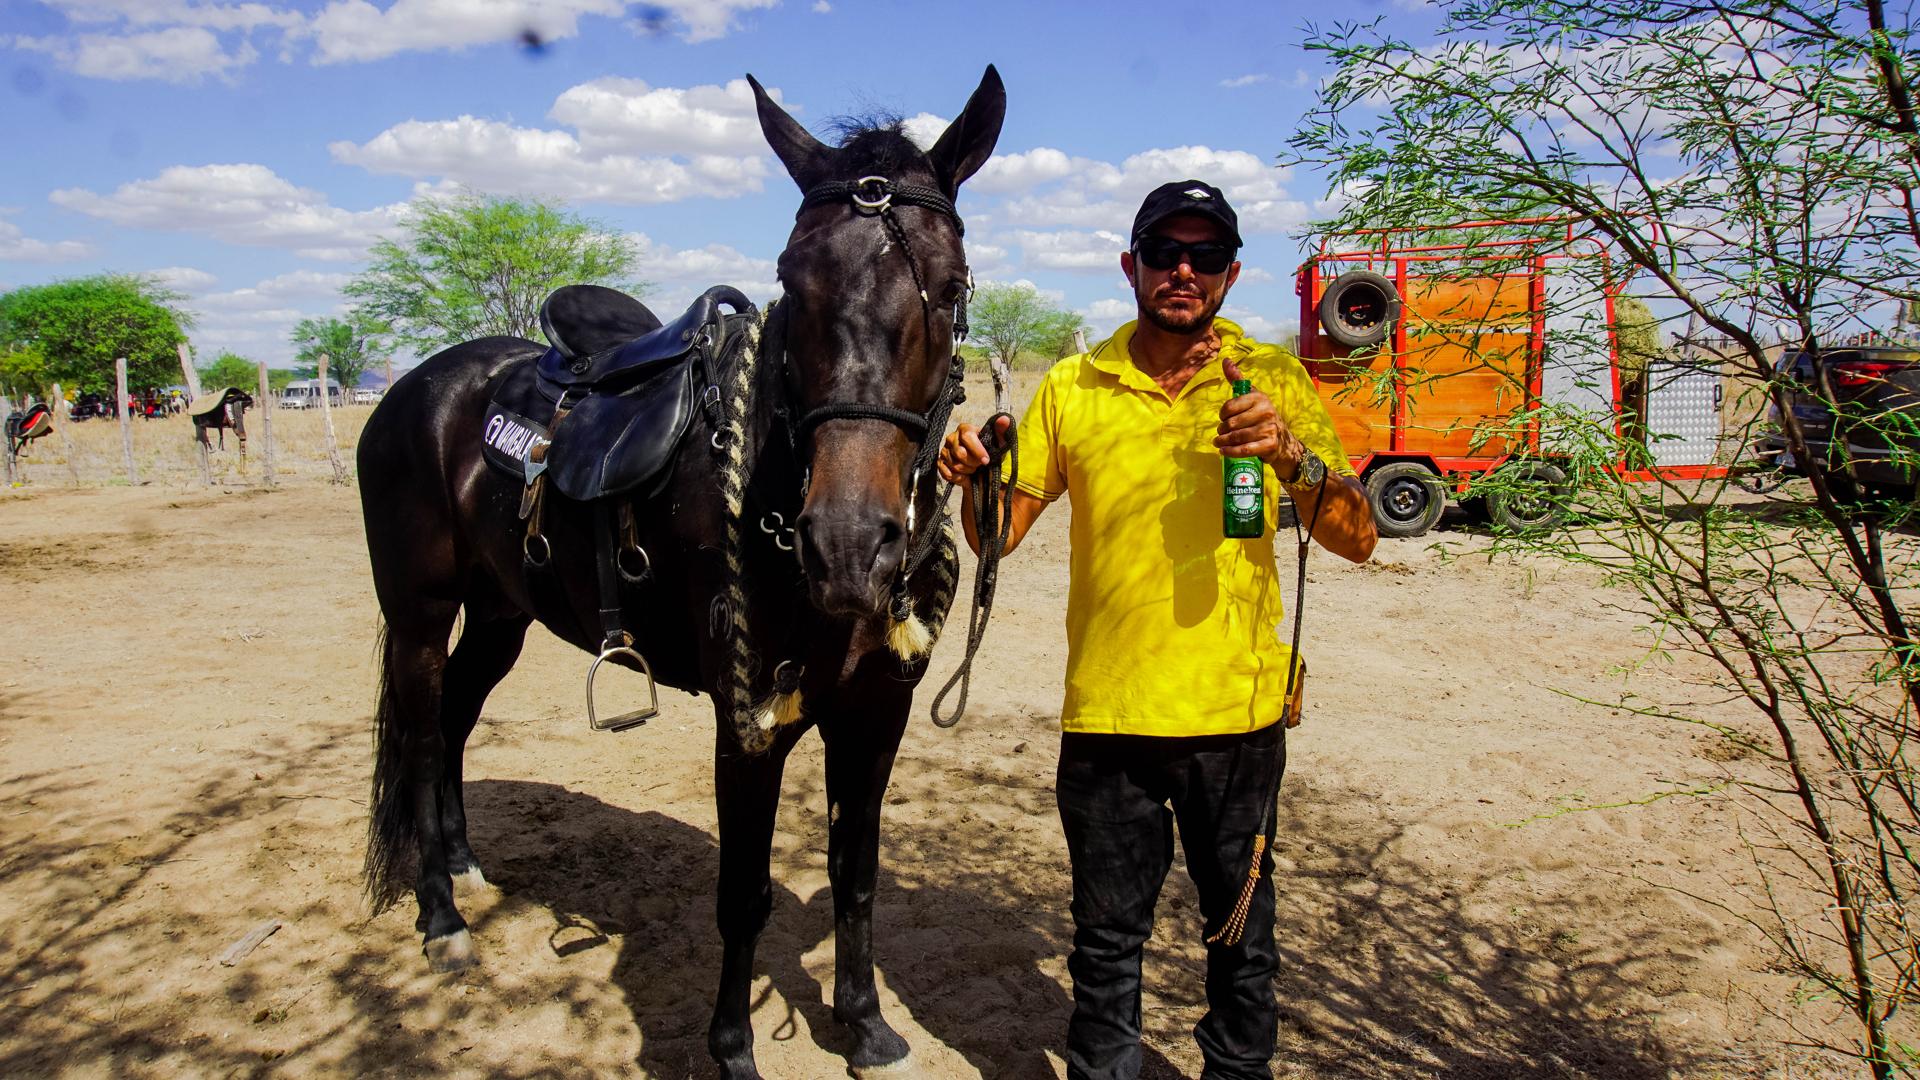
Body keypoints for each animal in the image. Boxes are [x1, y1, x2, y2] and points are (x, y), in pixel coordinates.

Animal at [356, 67, 1005, 1078]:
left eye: (947, 284)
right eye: (791, 281)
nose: (846, 545)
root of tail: (416, 389)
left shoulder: (876, 711)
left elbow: (856, 875)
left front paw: (865, 1023)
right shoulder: (750, 725)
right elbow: (744, 897)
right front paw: (733, 1050)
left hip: (500, 616)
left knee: (456, 720)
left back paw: (462, 866)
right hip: (421, 614)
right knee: (424, 737)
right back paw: (439, 915)